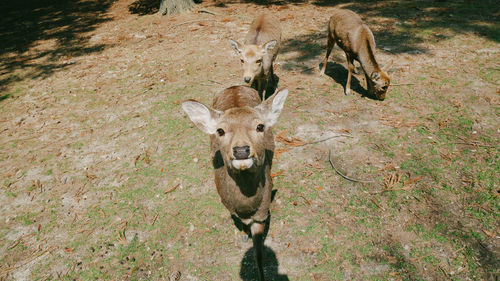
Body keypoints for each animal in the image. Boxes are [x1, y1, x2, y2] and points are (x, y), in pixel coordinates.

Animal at [183, 85, 290, 280]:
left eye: (260, 126)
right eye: (220, 130)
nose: (241, 150)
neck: (247, 206)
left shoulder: (263, 213)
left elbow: (259, 254)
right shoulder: (229, 207)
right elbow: (242, 223)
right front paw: (243, 235)